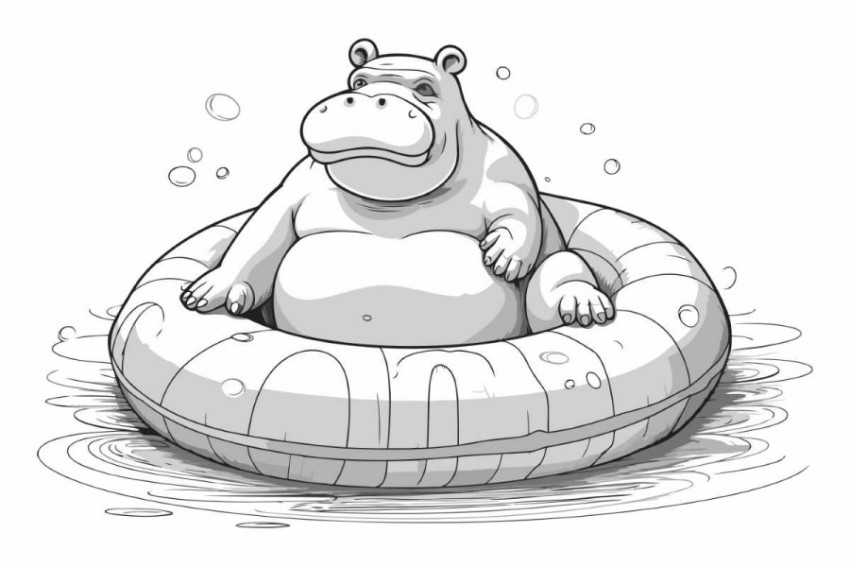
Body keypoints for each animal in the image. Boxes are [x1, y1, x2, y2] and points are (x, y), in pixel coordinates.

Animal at [180, 39, 614, 346]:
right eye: (357, 82)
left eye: (424, 88)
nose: (364, 100)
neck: (390, 204)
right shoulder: (294, 187)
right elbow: (257, 236)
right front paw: (202, 295)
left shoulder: (505, 175)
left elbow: (519, 213)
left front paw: (503, 258)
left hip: (561, 269)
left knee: (563, 266)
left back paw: (582, 307)